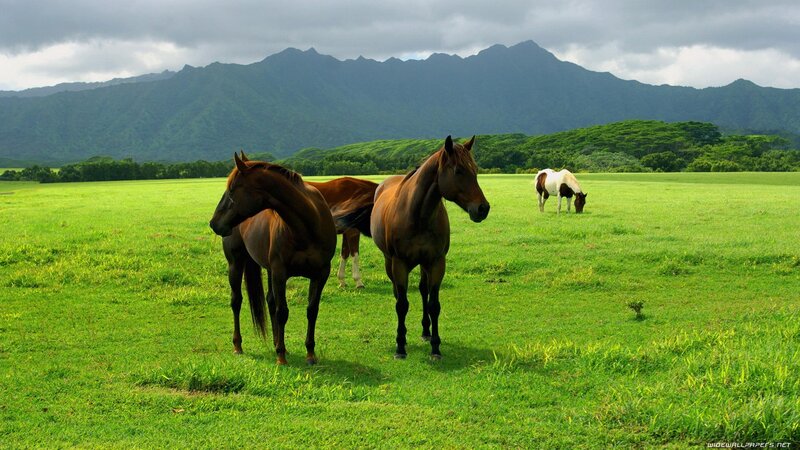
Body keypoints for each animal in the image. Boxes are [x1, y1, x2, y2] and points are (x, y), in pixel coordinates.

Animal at [209, 152, 337, 365]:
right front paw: (281, 357)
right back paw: (238, 345)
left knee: (269, 301)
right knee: (237, 301)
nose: (214, 223)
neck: (308, 226)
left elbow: (312, 310)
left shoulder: (321, 274)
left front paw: (310, 353)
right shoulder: (280, 272)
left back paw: (277, 342)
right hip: (236, 264)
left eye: (232, 189)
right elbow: (282, 311)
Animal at [350, 135, 490, 360]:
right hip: (389, 262)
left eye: (475, 170)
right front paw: (400, 346)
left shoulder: (436, 262)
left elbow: (433, 304)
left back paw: (425, 331)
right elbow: (402, 304)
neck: (418, 215)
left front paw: (435, 346)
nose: (483, 208)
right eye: (458, 170)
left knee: (424, 291)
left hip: (424, 264)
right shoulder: (399, 264)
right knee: (398, 295)